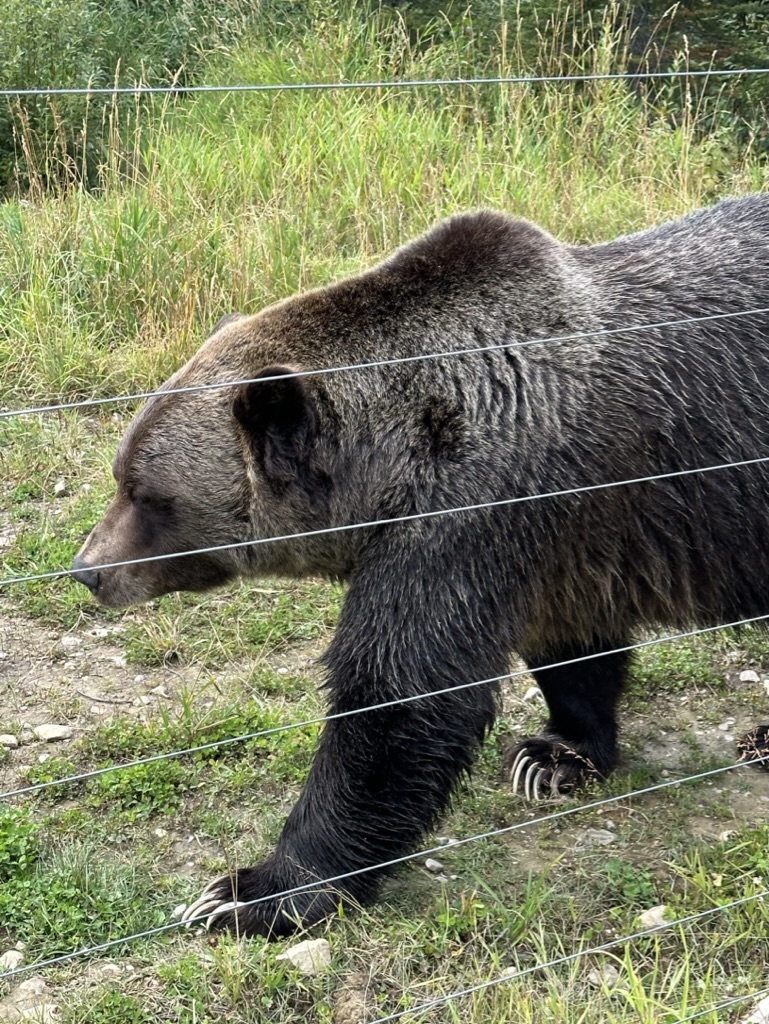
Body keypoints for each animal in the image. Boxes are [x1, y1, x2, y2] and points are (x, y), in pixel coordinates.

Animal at [72, 193, 769, 938]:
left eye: (148, 496)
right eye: (120, 474)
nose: (88, 569)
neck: (389, 466)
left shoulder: (470, 516)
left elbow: (400, 696)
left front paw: (252, 891)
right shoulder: (555, 544)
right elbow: (569, 649)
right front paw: (553, 755)